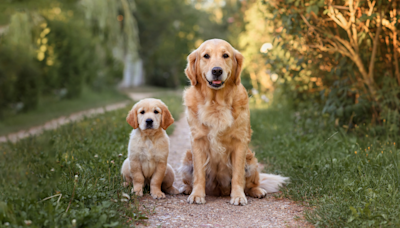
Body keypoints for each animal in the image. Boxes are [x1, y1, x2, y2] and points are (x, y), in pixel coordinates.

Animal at [180, 38, 290, 206]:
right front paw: (197, 195)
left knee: (252, 183)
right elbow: (199, 174)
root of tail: (219, 191)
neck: (216, 103)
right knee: (189, 180)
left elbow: (238, 175)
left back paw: (257, 191)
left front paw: (238, 196)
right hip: (187, 160)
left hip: (251, 161)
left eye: (226, 55)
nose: (217, 70)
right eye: (206, 56)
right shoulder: (197, 141)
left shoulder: (240, 142)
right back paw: (187, 189)